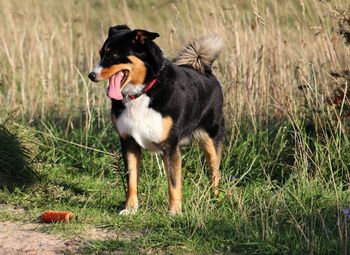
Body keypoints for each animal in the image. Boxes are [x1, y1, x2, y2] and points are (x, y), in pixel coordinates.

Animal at [87, 24, 224, 215]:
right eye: (101, 53)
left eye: (113, 55)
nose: (91, 75)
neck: (142, 92)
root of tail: (204, 69)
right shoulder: (129, 143)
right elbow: (131, 180)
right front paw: (130, 208)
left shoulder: (170, 146)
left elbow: (173, 183)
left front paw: (175, 212)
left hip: (211, 138)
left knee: (214, 171)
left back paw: (215, 198)